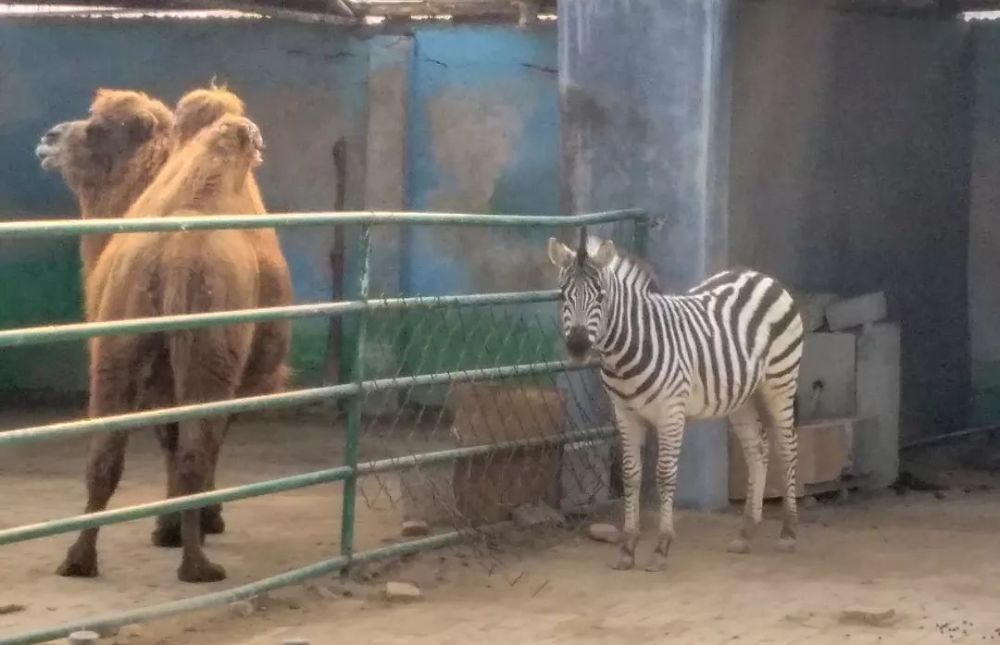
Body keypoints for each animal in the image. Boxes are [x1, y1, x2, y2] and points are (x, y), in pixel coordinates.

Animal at [35, 85, 292, 580]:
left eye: (98, 130)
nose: (48, 139)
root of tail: (171, 254)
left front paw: (171, 526)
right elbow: (196, 440)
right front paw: (195, 522)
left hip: (120, 341)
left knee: (105, 453)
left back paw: (79, 558)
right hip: (210, 349)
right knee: (193, 450)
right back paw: (197, 564)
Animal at [548, 230, 804, 568]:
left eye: (601, 296)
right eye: (562, 296)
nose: (577, 347)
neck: (628, 351)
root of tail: (760, 276)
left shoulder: (671, 411)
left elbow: (664, 475)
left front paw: (661, 547)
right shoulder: (625, 413)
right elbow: (632, 475)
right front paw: (627, 547)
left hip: (781, 381)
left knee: (787, 449)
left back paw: (789, 532)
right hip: (742, 395)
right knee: (757, 452)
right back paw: (746, 532)